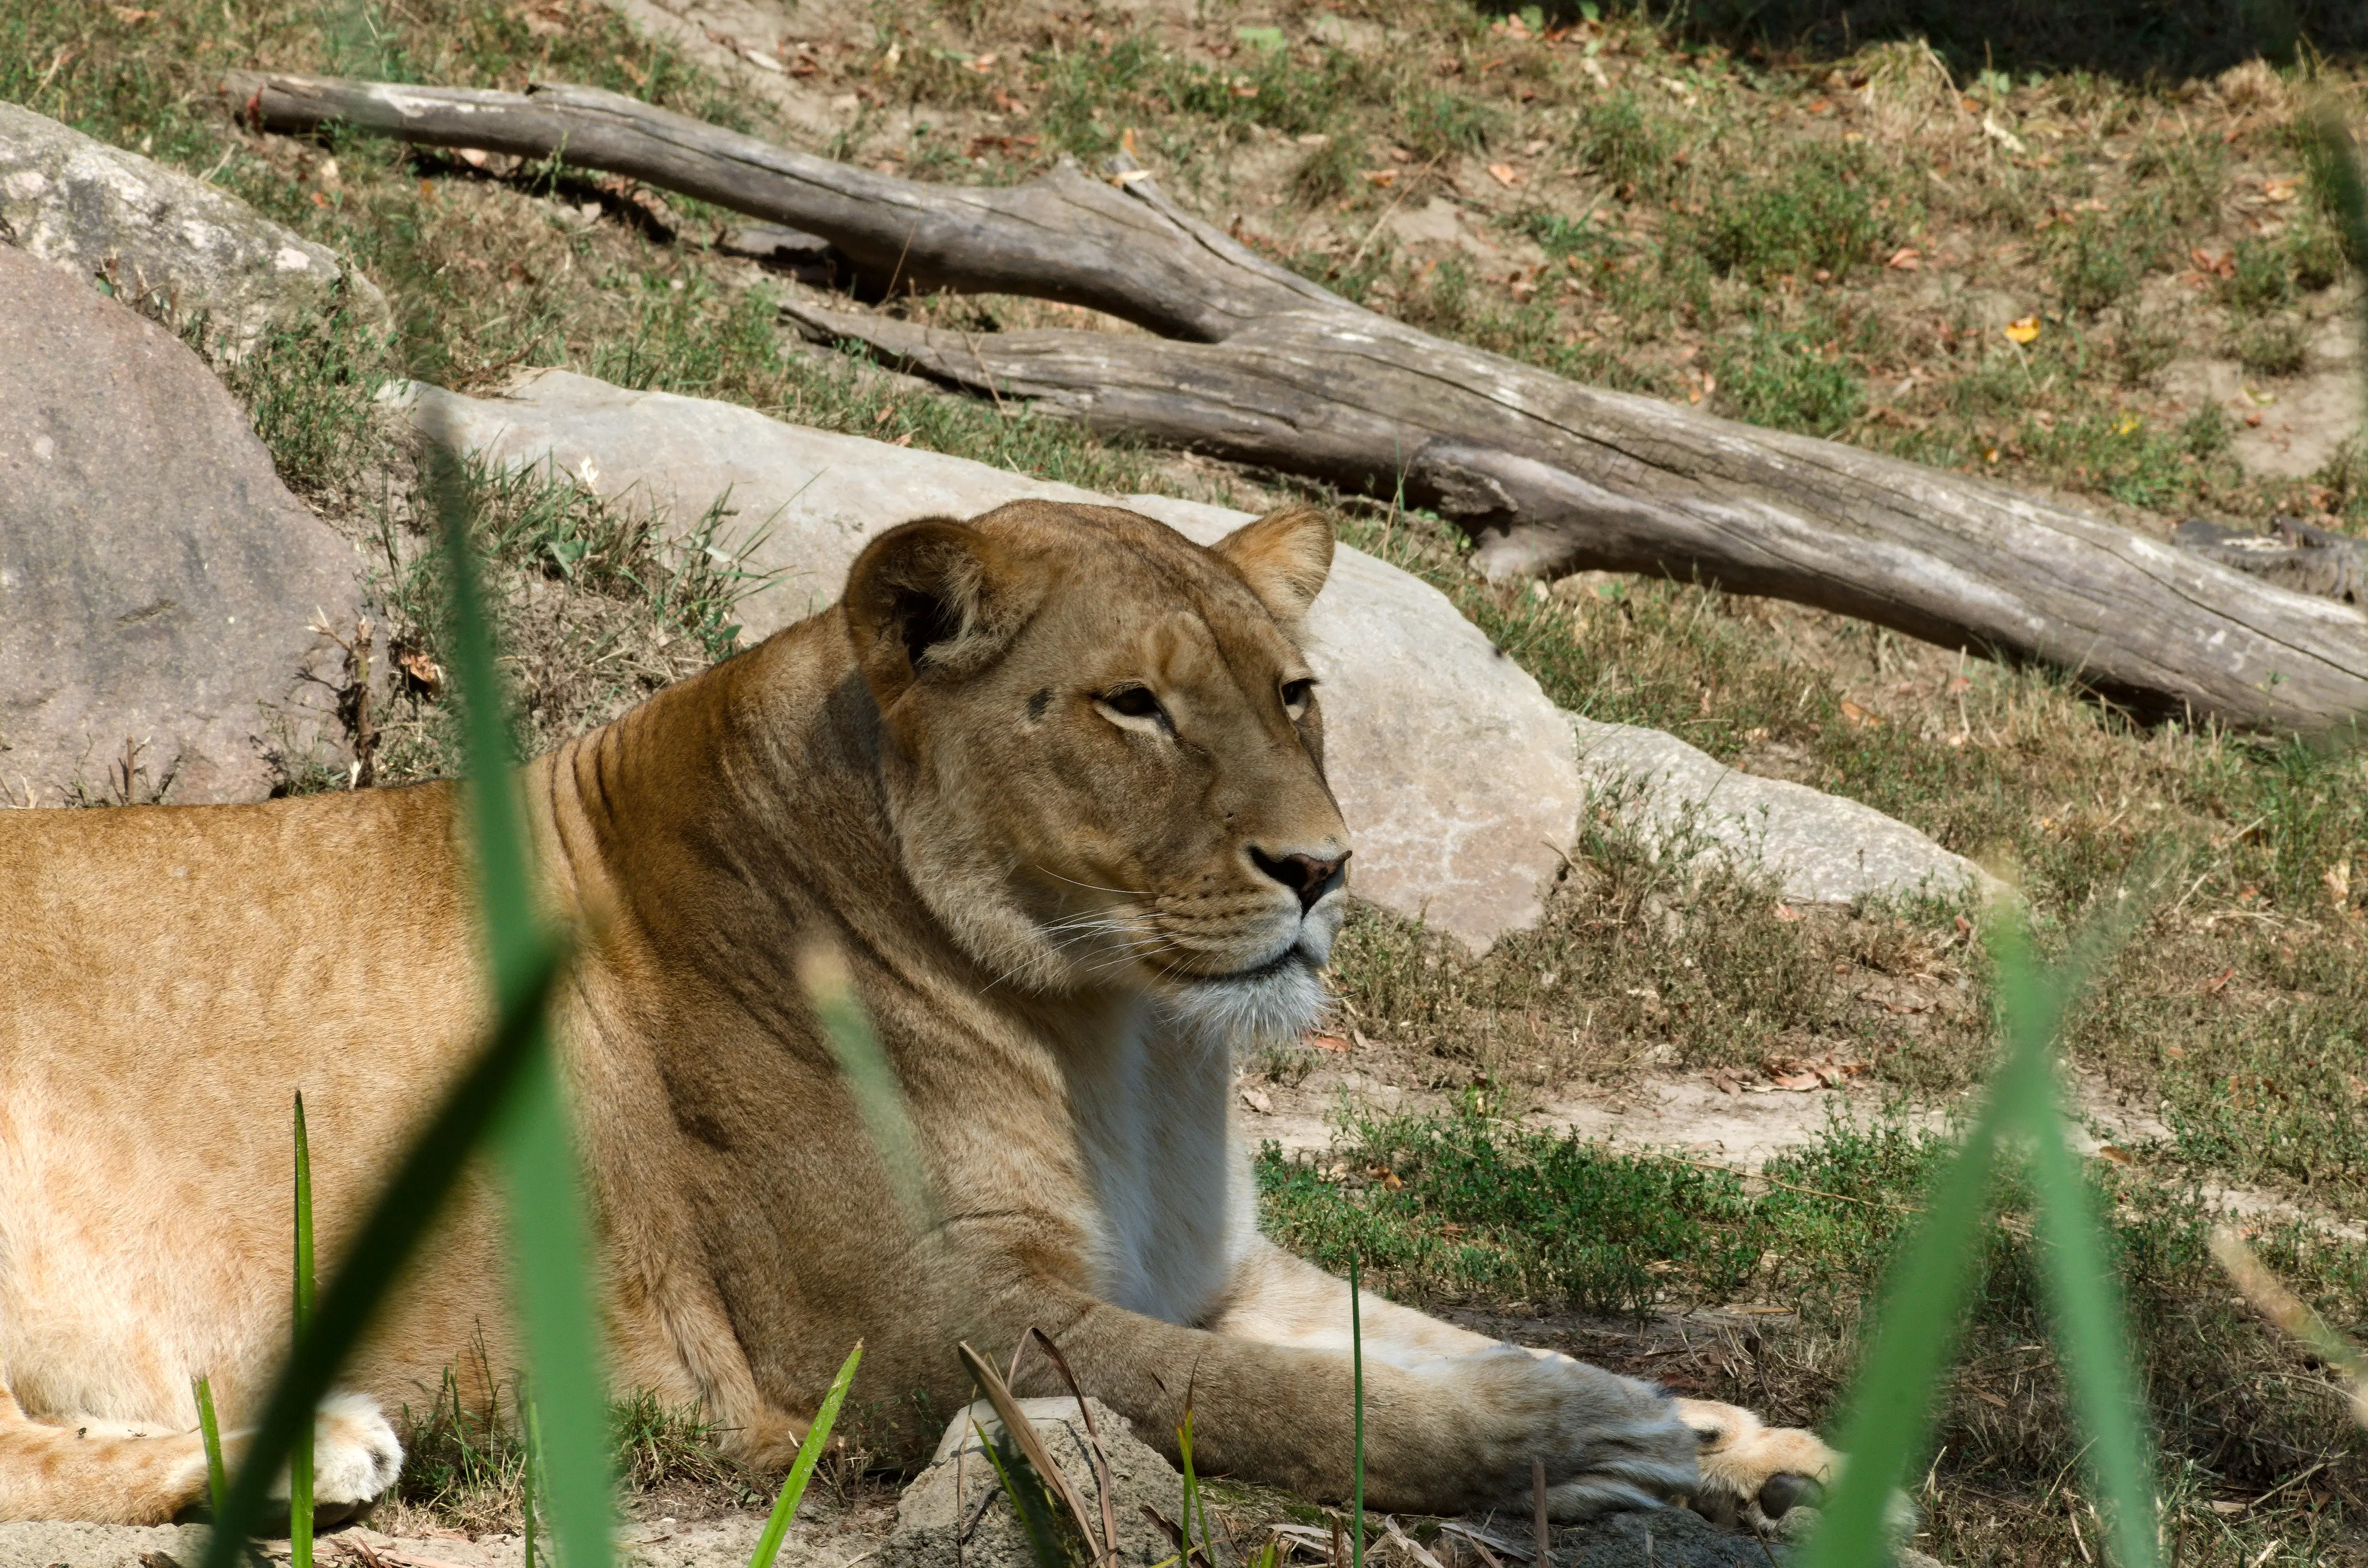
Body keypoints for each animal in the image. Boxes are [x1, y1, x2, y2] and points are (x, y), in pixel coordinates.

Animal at [0, 500, 1840, 1531]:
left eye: (1292, 692)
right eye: (1131, 705)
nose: (1323, 867)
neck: (1129, 1042)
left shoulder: (1209, 1265)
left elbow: (1397, 1327)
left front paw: (1733, 1438)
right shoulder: (922, 1334)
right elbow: (1270, 1396)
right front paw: (1572, 1443)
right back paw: (307, 1452)